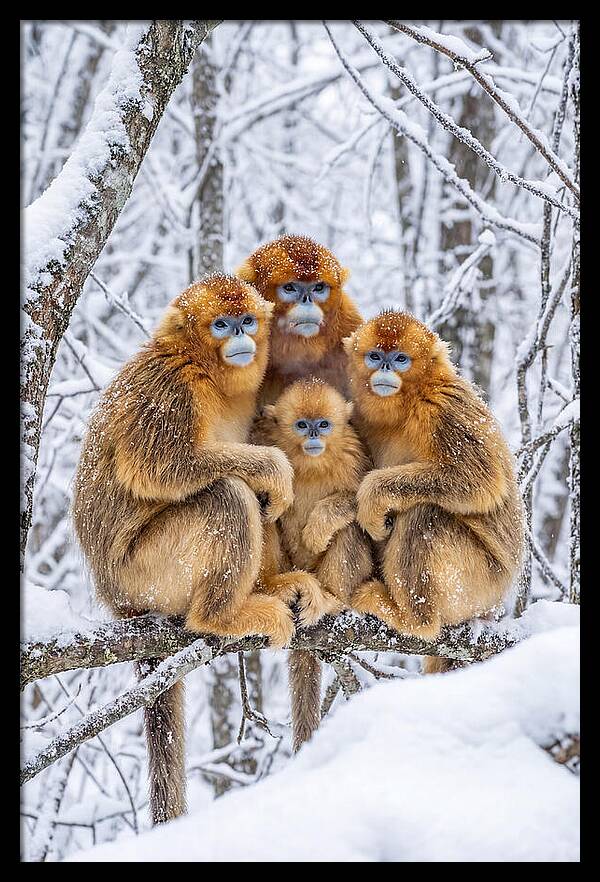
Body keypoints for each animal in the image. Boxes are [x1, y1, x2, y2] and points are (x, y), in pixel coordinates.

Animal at [72, 273, 299, 825]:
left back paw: (269, 586)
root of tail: (116, 599)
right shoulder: (170, 388)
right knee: (227, 495)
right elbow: (161, 468)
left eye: (246, 321)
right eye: (222, 323)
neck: (208, 373)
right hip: (146, 572)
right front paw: (273, 466)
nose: (240, 336)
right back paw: (221, 616)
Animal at [259, 379, 375, 750]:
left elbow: (364, 503)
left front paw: (319, 527)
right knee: (263, 509)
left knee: (350, 528)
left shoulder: (354, 454)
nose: (313, 435)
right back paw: (275, 587)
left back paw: (331, 599)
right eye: (301, 425)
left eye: (323, 424)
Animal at [342, 310, 524, 674]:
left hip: (480, 584)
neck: (409, 403)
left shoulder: (443, 407)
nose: (386, 368)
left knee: (425, 515)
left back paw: (413, 619)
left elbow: (481, 481)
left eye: (400, 359)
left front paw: (373, 496)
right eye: (375, 356)